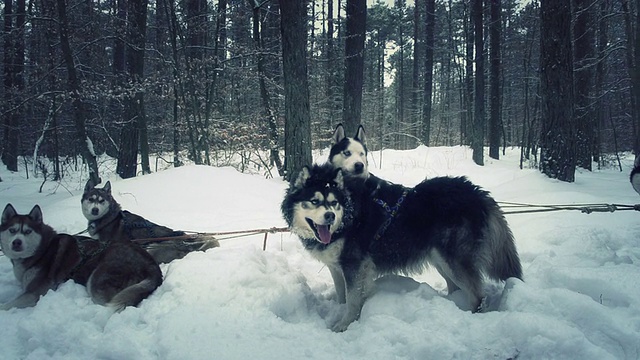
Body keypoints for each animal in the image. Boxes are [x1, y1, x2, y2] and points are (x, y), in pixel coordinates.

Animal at [1, 204, 161, 310]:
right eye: (12, 230)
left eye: (28, 231)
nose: (16, 242)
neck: (42, 249)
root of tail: (152, 265)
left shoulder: (35, 292)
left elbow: (5, 306)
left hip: (97, 281)